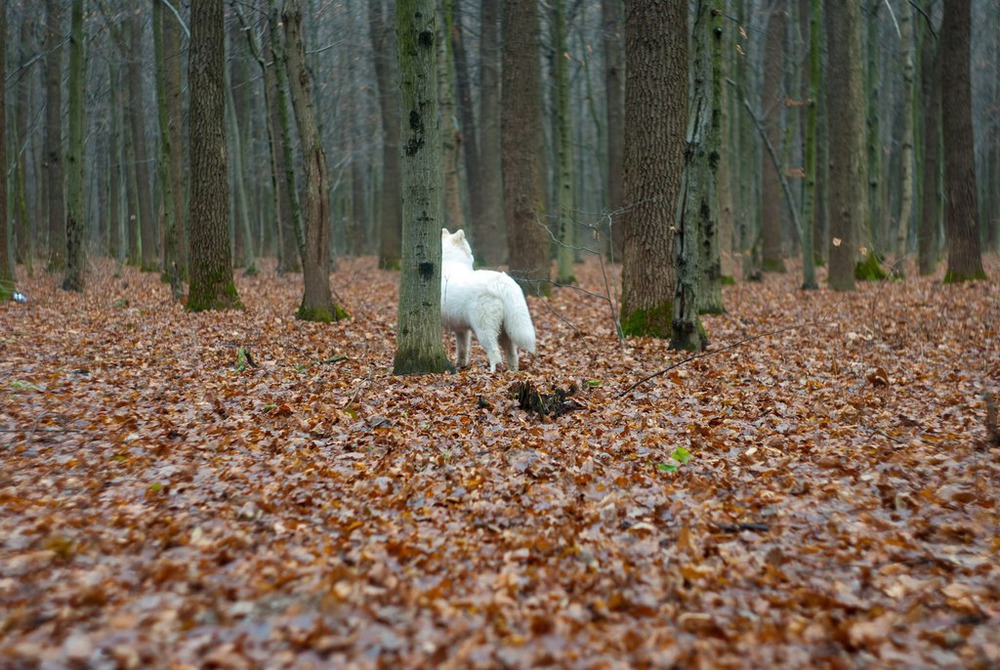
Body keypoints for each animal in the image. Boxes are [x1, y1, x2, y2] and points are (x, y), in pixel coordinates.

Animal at [442, 228, 536, 370]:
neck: (451, 262)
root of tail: (500, 282)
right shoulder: (462, 330)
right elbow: (462, 350)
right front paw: (461, 366)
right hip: (505, 330)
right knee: (512, 353)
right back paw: (512, 371)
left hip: (484, 330)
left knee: (495, 353)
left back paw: (493, 372)